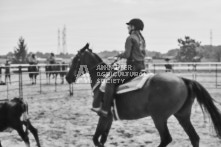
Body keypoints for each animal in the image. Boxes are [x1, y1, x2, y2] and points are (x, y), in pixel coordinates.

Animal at [65, 42, 221, 147]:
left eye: (75, 60)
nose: (67, 78)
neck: (102, 78)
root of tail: (183, 80)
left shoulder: (103, 116)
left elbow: (96, 139)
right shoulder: (108, 118)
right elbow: (102, 140)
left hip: (159, 117)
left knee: (166, 138)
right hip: (182, 115)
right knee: (194, 137)